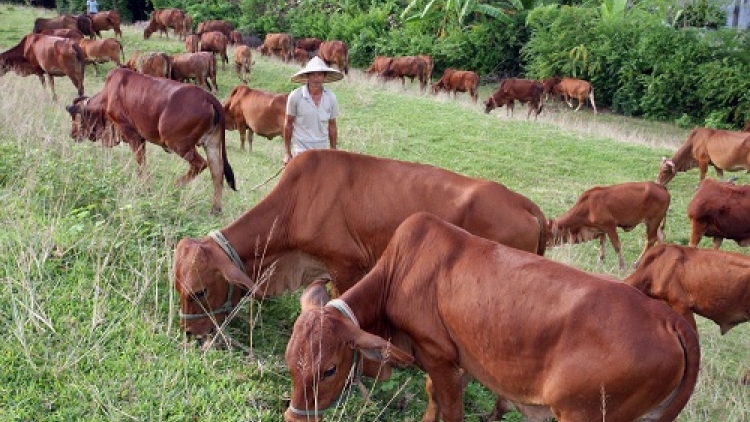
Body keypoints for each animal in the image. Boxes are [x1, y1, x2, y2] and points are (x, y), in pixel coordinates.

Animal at [65, 69, 235, 216]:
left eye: (75, 117)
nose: (72, 134)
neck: (107, 96)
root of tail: (209, 98)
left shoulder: (131, 133)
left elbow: (141, 164)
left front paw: (146, 188)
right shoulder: (141, 138)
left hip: (178, 144)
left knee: (200, 165)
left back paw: (173, 187)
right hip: (211, 144)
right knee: (217, 173)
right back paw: (215, 209)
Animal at [284, 213, 704, 422]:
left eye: (329, 369)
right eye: (289, 363)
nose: (294, 418)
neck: (399, 270)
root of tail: (670, 320)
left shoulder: (437, 354)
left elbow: (451, 410)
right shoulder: (454, 361)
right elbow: (433, 399)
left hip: (583, 416)